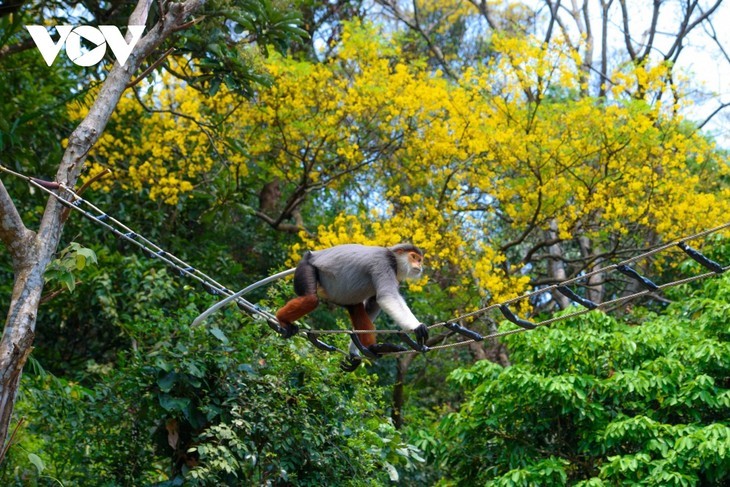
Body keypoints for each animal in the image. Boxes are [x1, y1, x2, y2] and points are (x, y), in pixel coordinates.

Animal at [276, 242, 430, 372]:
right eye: (414, 257)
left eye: (419, 260)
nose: (419, 266)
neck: (393, 259)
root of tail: (310, 254)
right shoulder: (383, 263)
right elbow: (387, 297)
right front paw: (418, 327)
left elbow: (372, 305)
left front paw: (356, 352)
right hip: (306, 266)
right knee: (311, 299)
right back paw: (281, 319)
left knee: (356, 308)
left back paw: (372, 348)